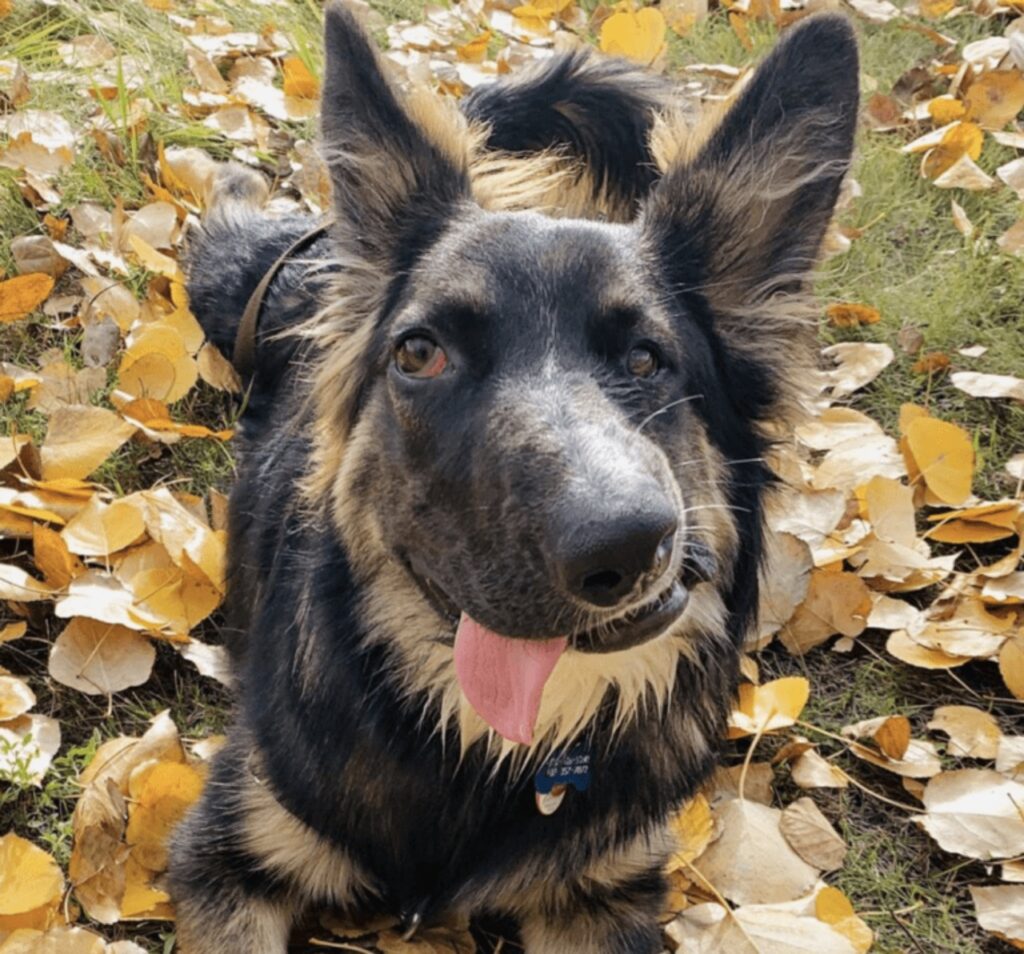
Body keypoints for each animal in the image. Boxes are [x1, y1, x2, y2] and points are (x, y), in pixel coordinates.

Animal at [169, 5, 856, 945]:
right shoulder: (227, 852)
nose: (624, 548)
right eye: (420, 352)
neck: (485, 748)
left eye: (648, 360)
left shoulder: (605, 895)